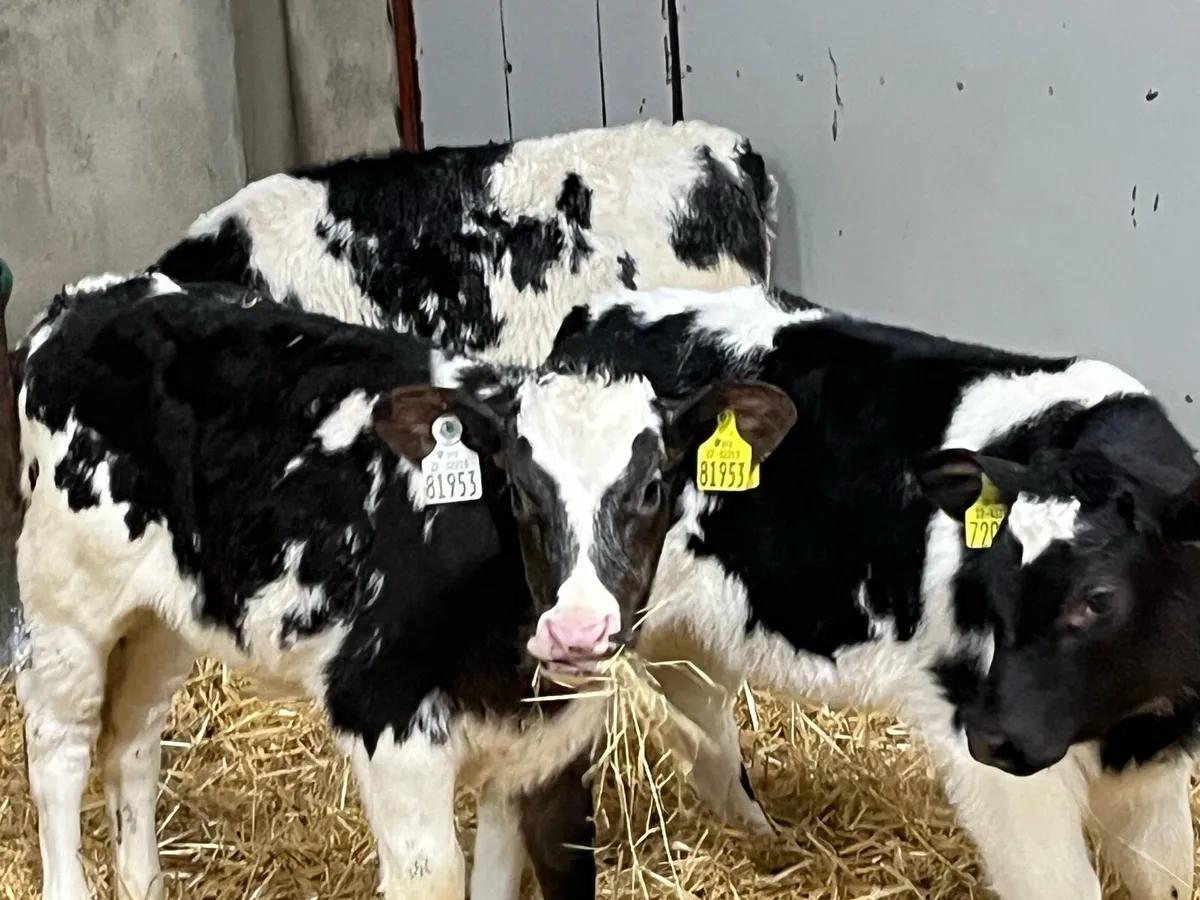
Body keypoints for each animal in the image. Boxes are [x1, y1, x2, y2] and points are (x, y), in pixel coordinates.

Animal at [11, 273, 666, 900]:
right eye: (520, 488)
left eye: (653, 489)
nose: (578, 630)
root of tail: (86, 300)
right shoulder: (383, 714)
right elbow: (434, 877)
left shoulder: (537, 750)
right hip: (65, 605)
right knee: (59, 746)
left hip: (163, 616)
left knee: (132, 742)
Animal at [456, 282, 1200, 900]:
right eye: (989, 581)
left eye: (1098, 598)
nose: (992, 735)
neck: (1131, 718)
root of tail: (597, 317)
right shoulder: (1000, 766)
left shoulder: (1156, 764)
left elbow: (1164, 878)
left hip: (683, 632)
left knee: (704, 730)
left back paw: (759, 838)